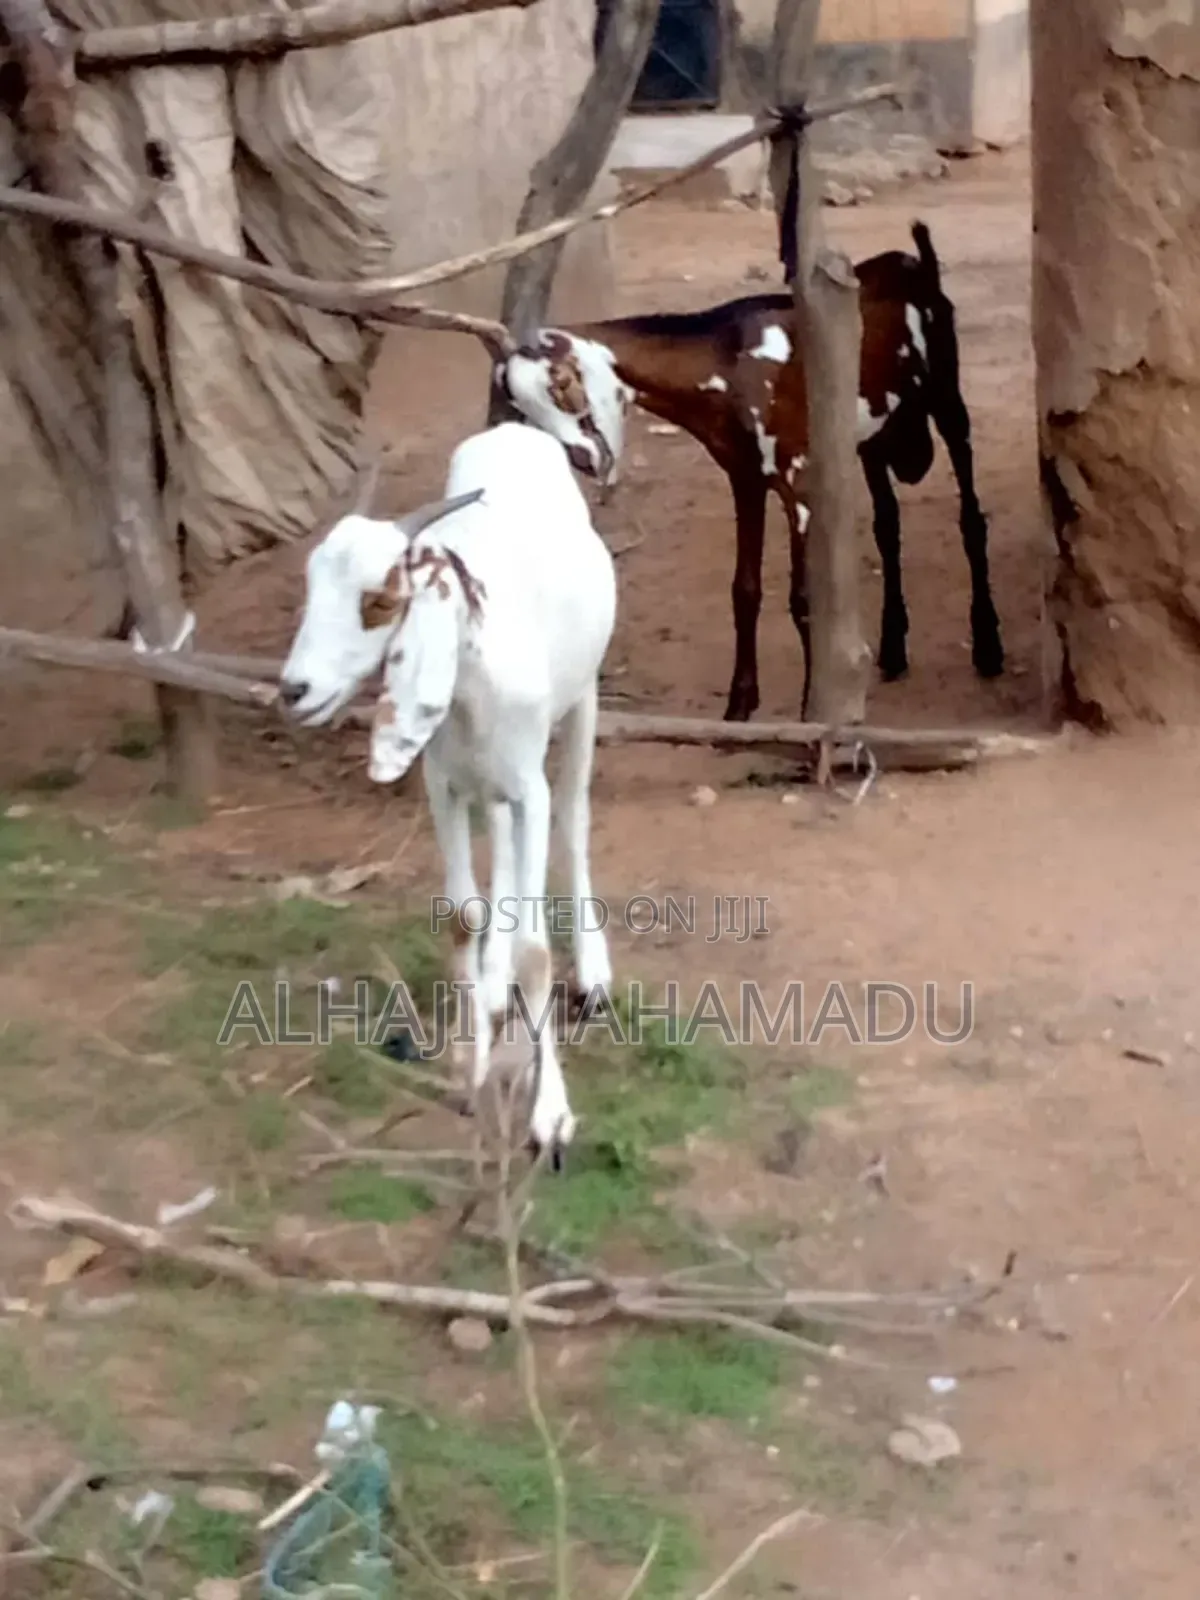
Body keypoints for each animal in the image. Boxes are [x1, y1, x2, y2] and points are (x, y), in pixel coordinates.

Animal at [278, 422, 617, 1165]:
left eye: (379, 601)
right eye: (311, 585)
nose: (294, 690)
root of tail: (517, 429)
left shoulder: (529, 787)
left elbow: (536, 949)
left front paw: (551, 1116)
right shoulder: (444, 783)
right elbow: (463, 914)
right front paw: (472, 1062)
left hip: (582, 701)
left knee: (574, 821)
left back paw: (593, 973)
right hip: (483, 781)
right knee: (502, 860)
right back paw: (491, 985)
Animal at [496, 221, 1002, 722]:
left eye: (561, 384)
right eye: (520, 406)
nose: (581, 458)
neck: (730, 361)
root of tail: (912, 261)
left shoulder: (798, 481)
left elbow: (803, 599)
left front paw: (812, 712)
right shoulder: (745, 477)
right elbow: (745, 590)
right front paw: (739, 705)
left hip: (947, 400)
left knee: (970, 517)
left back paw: (988, 646)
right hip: (873, 438)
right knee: (888, 525)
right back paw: (894, 649)